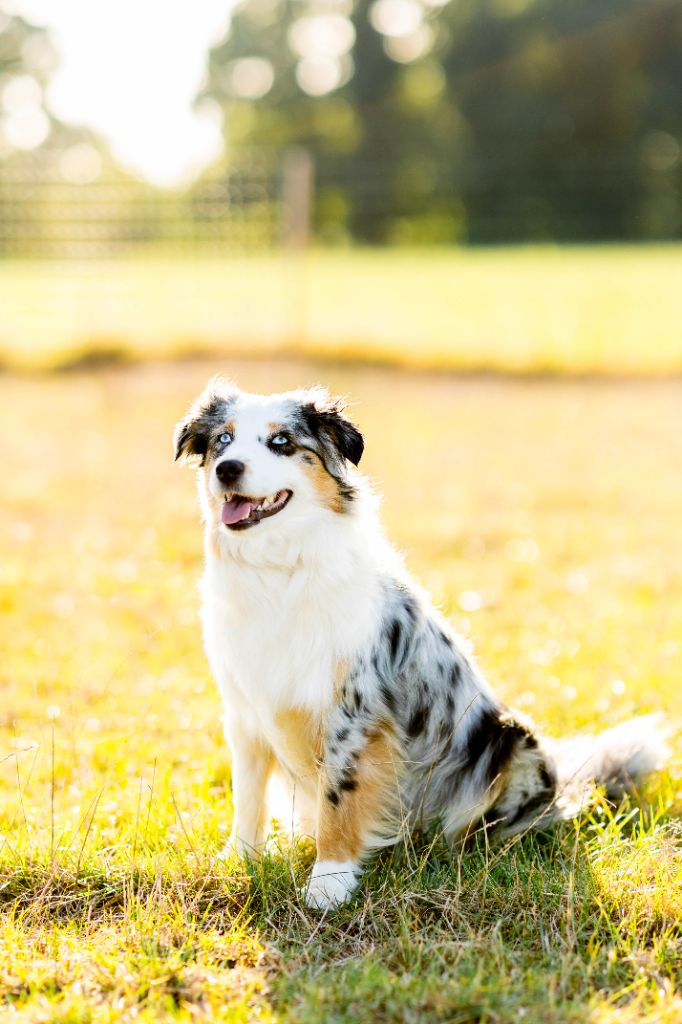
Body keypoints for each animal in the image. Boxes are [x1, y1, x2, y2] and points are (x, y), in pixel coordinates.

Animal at [173, 378, 667, 913]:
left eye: (281, 441)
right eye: (222, 440)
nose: (227, 469)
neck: (279, 571)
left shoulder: (353, 711)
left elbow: (339, 798)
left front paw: (329, 882)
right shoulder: (245, 711)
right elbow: (248, 796)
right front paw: (239, 859)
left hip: (511, 738)